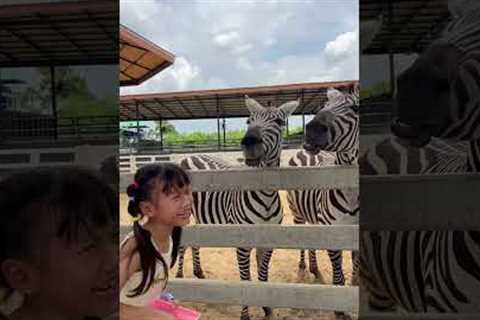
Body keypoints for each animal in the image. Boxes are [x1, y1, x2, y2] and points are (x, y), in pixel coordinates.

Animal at [177, 95, 296, 320]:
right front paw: (245, 314)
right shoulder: (242, 243)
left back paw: (199, 272)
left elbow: (263, 276)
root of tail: (189, 156)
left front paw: (267, 308)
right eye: (249, 121)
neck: (266, 198)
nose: (249, 142)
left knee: (194, 243)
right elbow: (245, 279)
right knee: (182, 244)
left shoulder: (268, 243)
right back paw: (179, 275)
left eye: (279, 122)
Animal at [286, 86, 358, 292]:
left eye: (356, 108)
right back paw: (303, 269)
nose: (311, 130)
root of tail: (302, 152)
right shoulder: (332, 231)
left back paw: (315, 270)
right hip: (297, 212)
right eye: (324, 105)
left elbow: (356, 269)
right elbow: (338, 276)